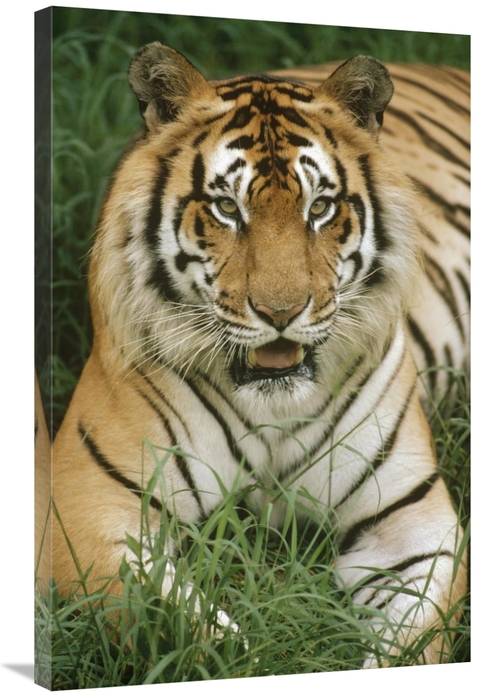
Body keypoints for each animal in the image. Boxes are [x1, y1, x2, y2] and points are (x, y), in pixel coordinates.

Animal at [41, 42, 470, 668]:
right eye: (226, 208)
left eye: (320, 208)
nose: (281, 312)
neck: (274, 409)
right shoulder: (88, 508)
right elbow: (198, 636)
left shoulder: (413, 517)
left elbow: (410, 642)